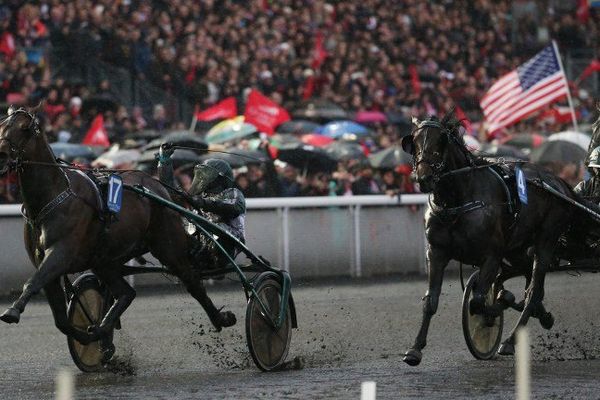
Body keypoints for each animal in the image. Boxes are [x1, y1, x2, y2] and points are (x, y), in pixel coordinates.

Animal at [0, 107, 237, 356]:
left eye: (24, 128)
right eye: (1, 125)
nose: (2, 156)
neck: (51, 199)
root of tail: (158, 187)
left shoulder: (61, 252)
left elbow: (33, 282)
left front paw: (12, 311)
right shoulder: (45, 261)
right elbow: (61, 320)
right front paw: (91, 334)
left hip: (167, 246)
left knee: (192, 282)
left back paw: (221, 318)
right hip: (105, 259)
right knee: (125, 293)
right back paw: (103, 331)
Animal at [400, 112, 576, 366]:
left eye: (441, 140)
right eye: (413, 141)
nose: (424, 177)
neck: (457, 201)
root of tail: (560, 183)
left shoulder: (491, 255)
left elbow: (478, 302)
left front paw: (502, 301)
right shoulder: (436, 252)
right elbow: (431, 300)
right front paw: (415, 349)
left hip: (546, 239)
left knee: (532, 291)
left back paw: (510, 339)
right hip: (517, 249)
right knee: (531, 285)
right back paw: (542, 315)